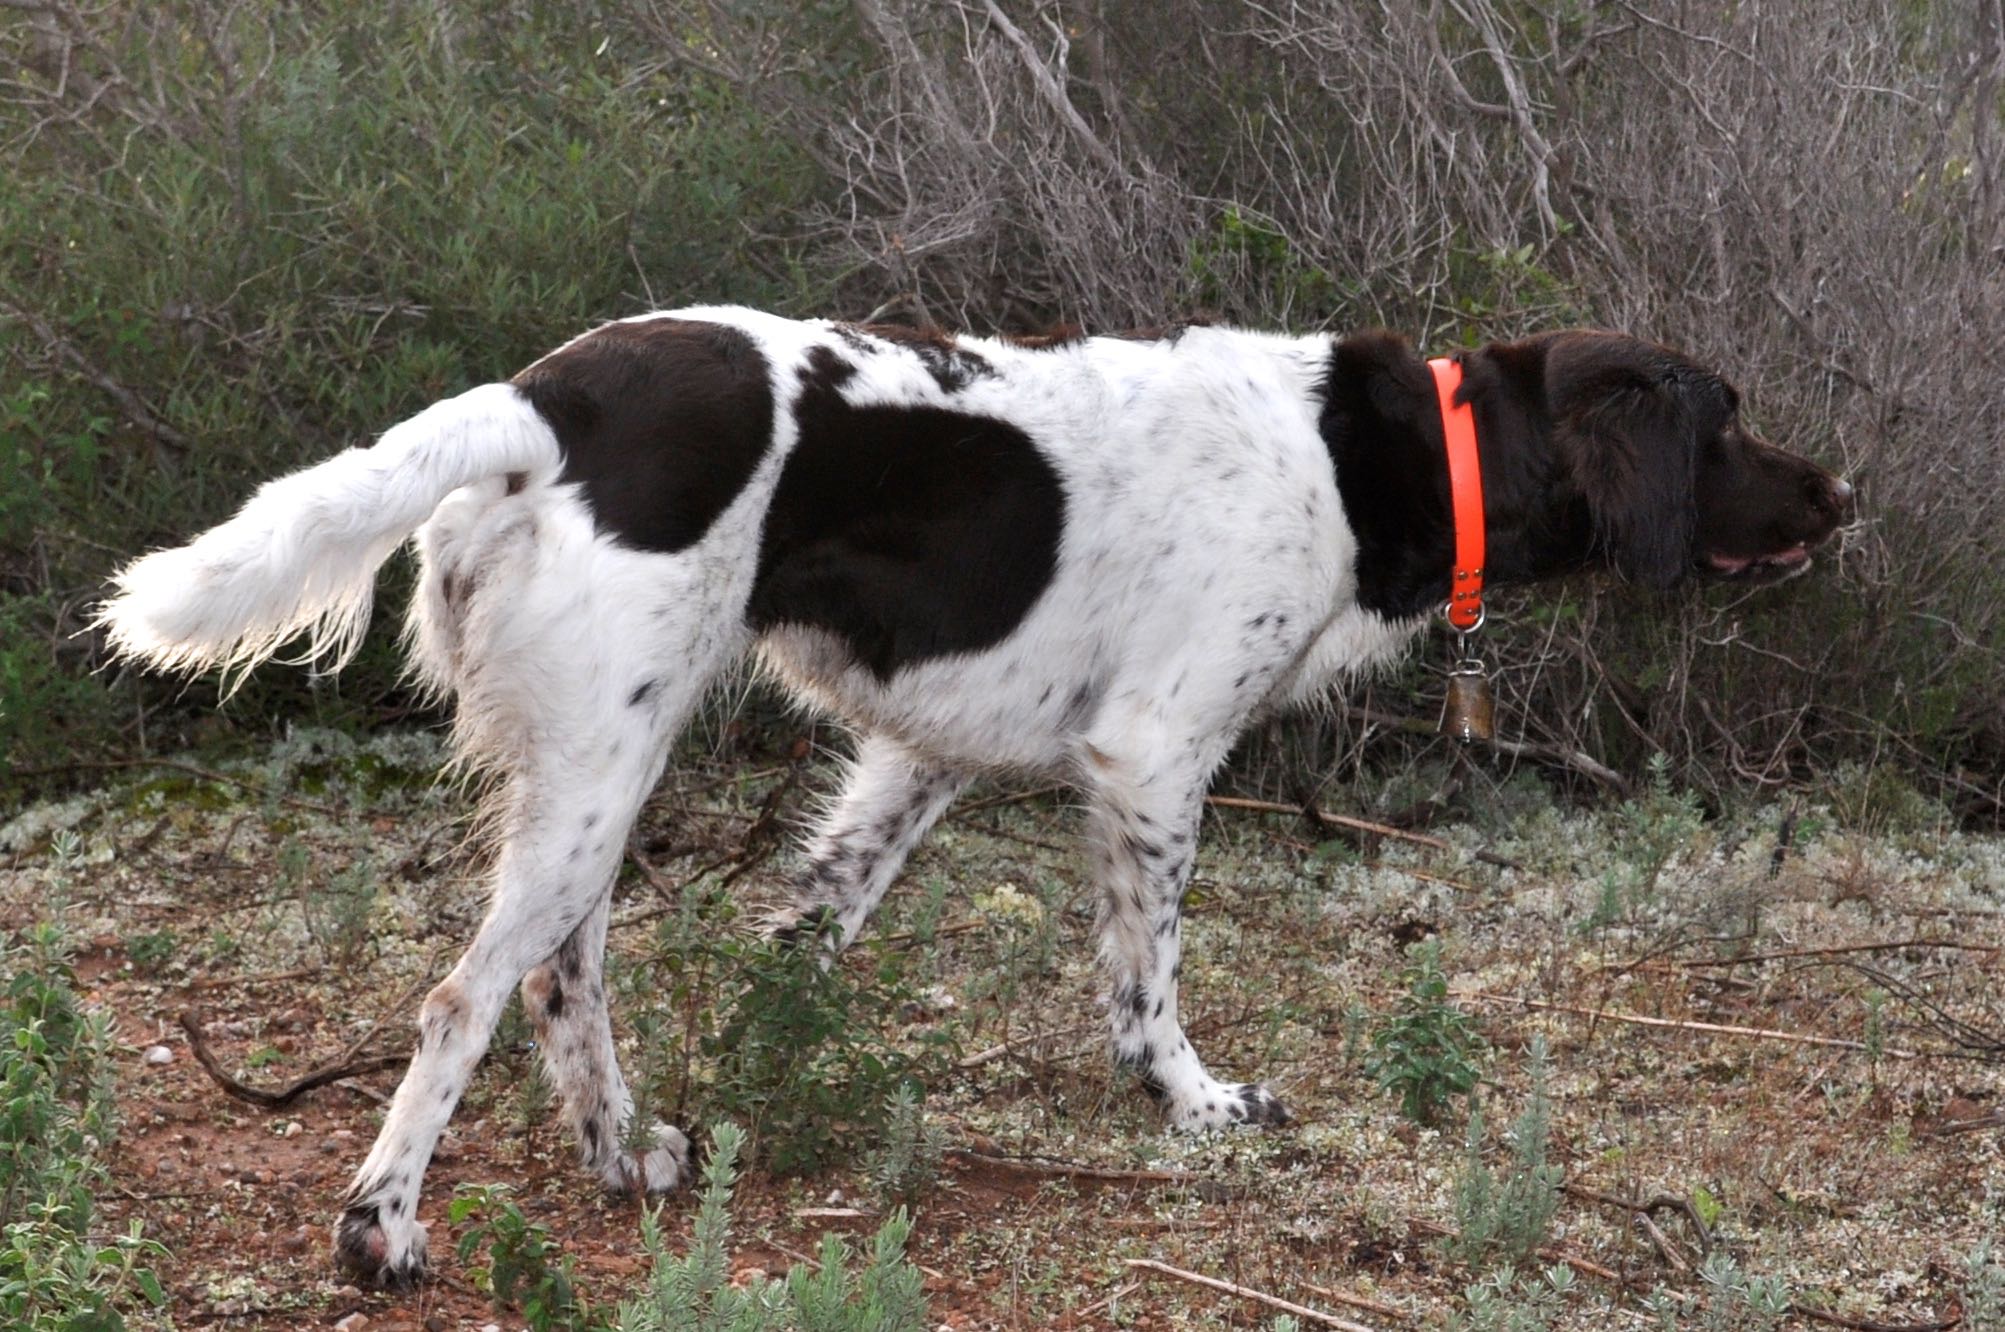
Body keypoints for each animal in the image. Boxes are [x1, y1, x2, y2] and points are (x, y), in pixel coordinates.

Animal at [90, 306, 1844, 1283]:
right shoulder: (1154, 757)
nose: (1844, 490)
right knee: (465, 998)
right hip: (602, 763)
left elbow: (809, 937)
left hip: (597, 768)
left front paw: (776, 1079)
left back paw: (625, 1155)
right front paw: (1194, 1106)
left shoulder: (928, 757)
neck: (1379, 459)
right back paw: (382, 1230)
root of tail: (543, 400)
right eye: (1731, 419)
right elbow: (1145, 984)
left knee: (561, 976)